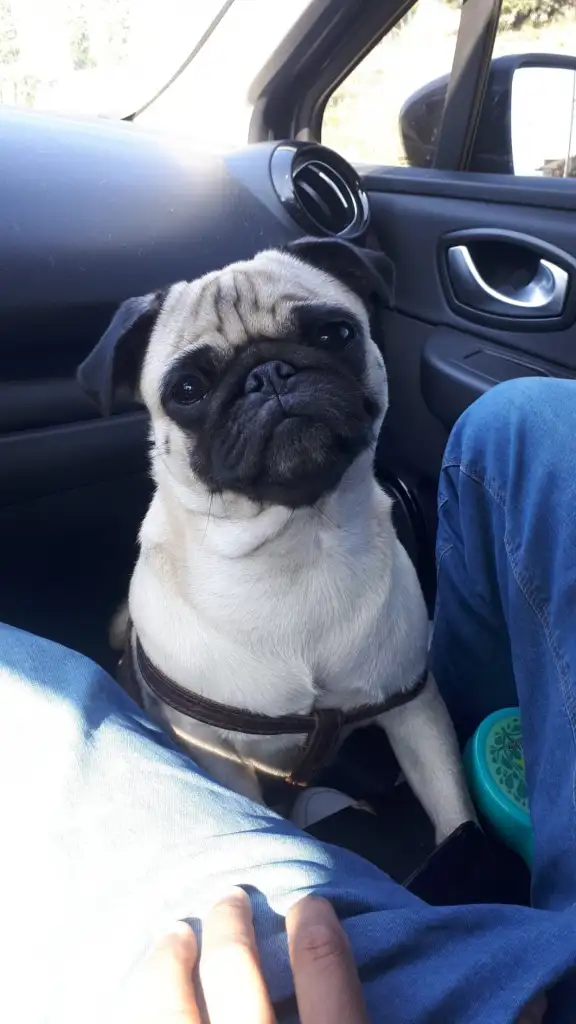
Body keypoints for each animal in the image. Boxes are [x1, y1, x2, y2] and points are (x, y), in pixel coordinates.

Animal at [78, 237, 474, 843]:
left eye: (335, 334)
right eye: (187, 390)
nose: (268, 374)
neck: (299, 545)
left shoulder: (415, 707)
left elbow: (455, 812)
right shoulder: (218, 756)